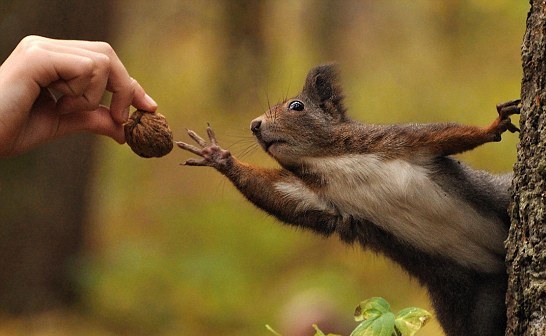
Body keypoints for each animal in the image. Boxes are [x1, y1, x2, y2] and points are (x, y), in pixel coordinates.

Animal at [177, 63, 520, 336]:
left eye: (296, 106)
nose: (254, 125)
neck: (328, 161)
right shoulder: (320, 198)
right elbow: (280, 197)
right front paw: (219, 157)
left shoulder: (401, 140)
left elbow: (449, 134)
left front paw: (492, 126)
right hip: (469, 302)